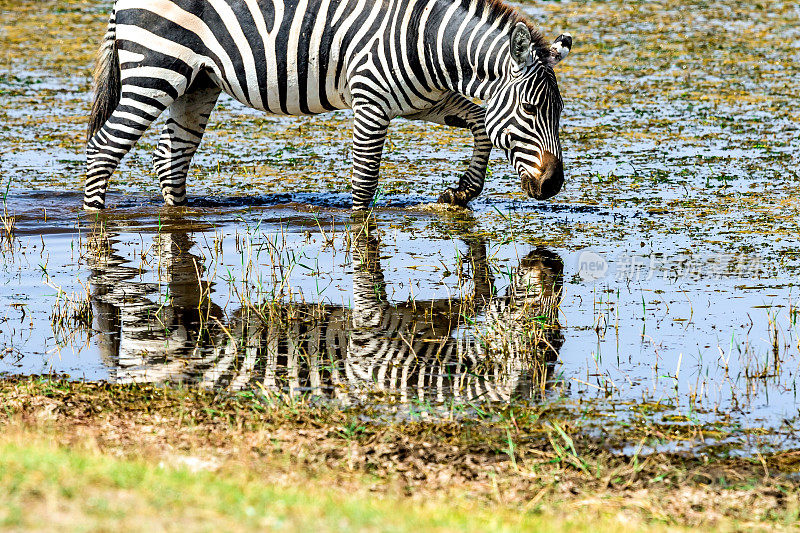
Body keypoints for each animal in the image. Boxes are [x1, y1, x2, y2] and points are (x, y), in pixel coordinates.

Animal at [86, 1, 576, 211]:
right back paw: (96, 220)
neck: (428, 43)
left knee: (170, 162)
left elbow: (479, 120)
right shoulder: (371, 101)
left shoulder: (425, 102)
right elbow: (364, 181)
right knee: (103, 147)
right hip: (155, 69)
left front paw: (462, 191)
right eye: (530, 111)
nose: (553, 185)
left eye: (557, 114)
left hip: (197, 84)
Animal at [86, 218, 564, 402]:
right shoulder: (380, 326)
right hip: (155, 328)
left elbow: (463, 303)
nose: (553, 261)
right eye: (527, 305)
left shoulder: (422, 322)